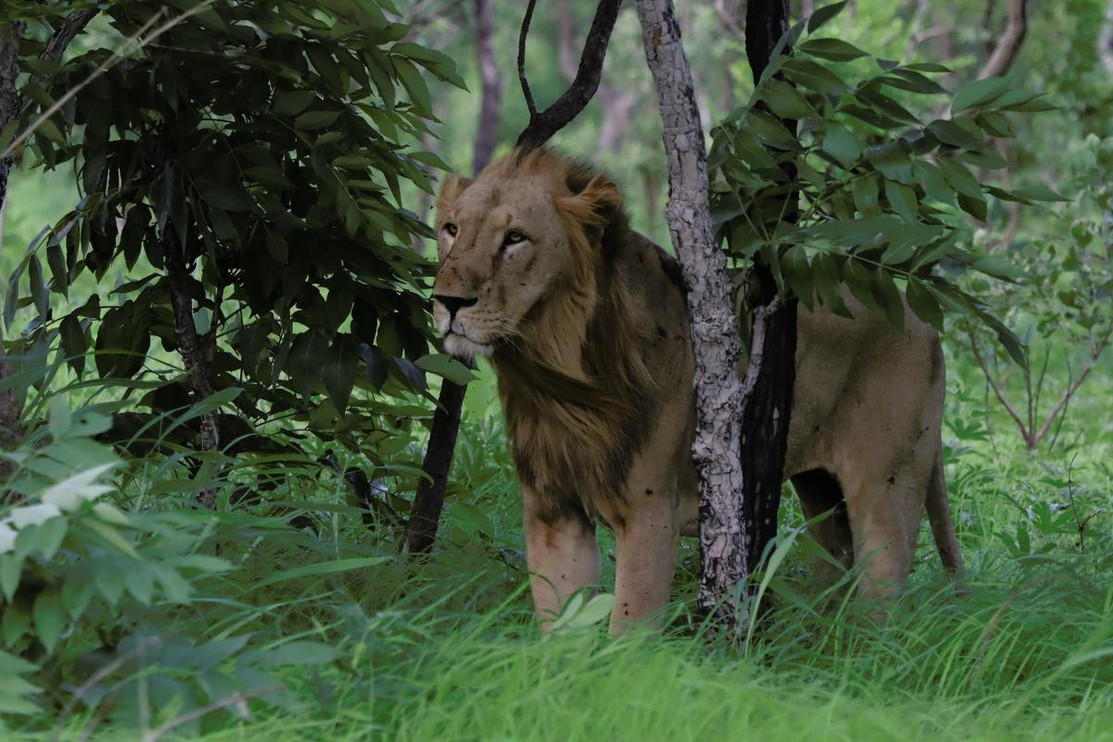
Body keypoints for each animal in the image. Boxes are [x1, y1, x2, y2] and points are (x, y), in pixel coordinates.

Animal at [431, 147, 964, 633]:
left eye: (515, 238)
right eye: (451, 230)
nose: (447, 301)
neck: (554, 377)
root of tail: (922, 318)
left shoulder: (650, 513)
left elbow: (627, 630)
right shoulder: (552, 512)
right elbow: (559, 632)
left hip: (886, 490)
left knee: (884, 598)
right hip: (819, 495)